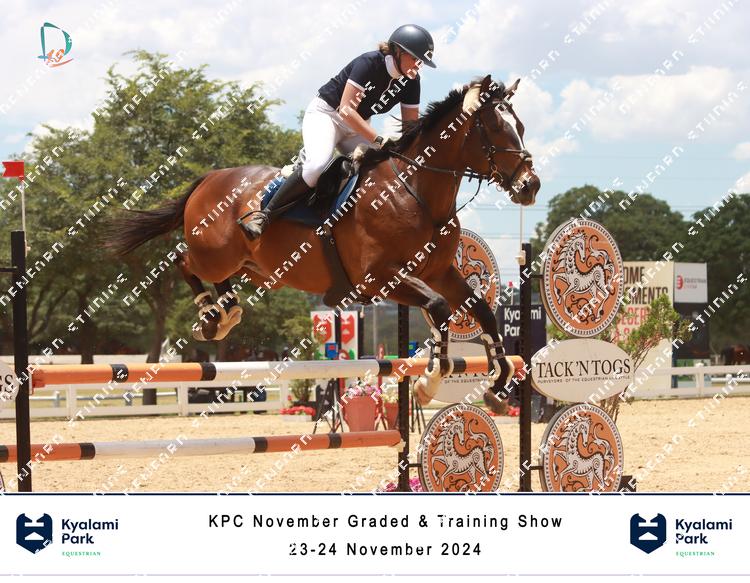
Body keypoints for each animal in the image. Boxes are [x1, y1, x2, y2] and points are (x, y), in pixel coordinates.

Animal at [105, 75, 540, 411]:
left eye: (521, 125)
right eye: (498, 128)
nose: (530, 185)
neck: (415, 190)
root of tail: (209, 178)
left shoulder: (439, 272)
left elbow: (480, 310)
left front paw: (500, 378)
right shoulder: (378, 279)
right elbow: (437, 308)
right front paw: (429, 380)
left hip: (253, 267)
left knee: (219, 276)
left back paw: (226, 312)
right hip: (214, 253)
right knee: (184, 261)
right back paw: (211, 316)